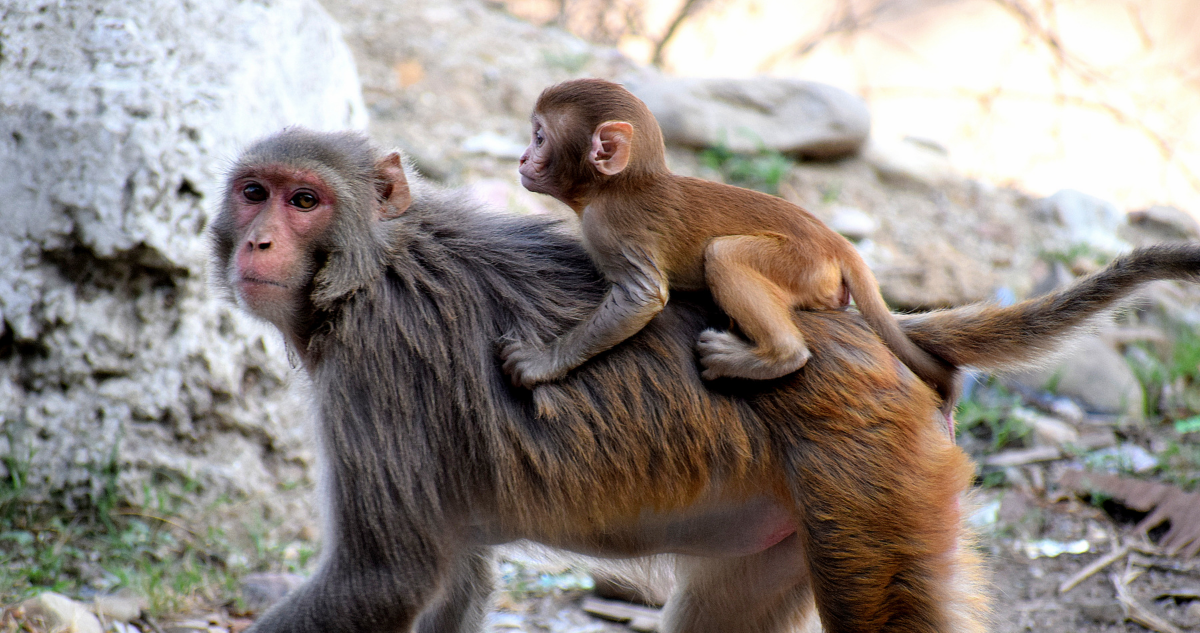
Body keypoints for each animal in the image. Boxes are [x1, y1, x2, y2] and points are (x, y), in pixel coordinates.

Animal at [212, 127, 1200, 633]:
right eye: (255, 191)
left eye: (305, 201)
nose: (257, 241)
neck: (365, 274)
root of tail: (862, 331)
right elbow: (451, 577)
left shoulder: (373, 376)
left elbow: (387, 576)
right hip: (807, 519)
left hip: (873, 481)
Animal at [499, 78, 956, 414]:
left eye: (539, 138)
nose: (521, 159)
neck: (617, 186)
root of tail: (834, 242)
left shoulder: (610, 226)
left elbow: (642, 297)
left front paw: (542, 363)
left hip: (800, 264)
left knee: (724, 255)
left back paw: (775, 356)